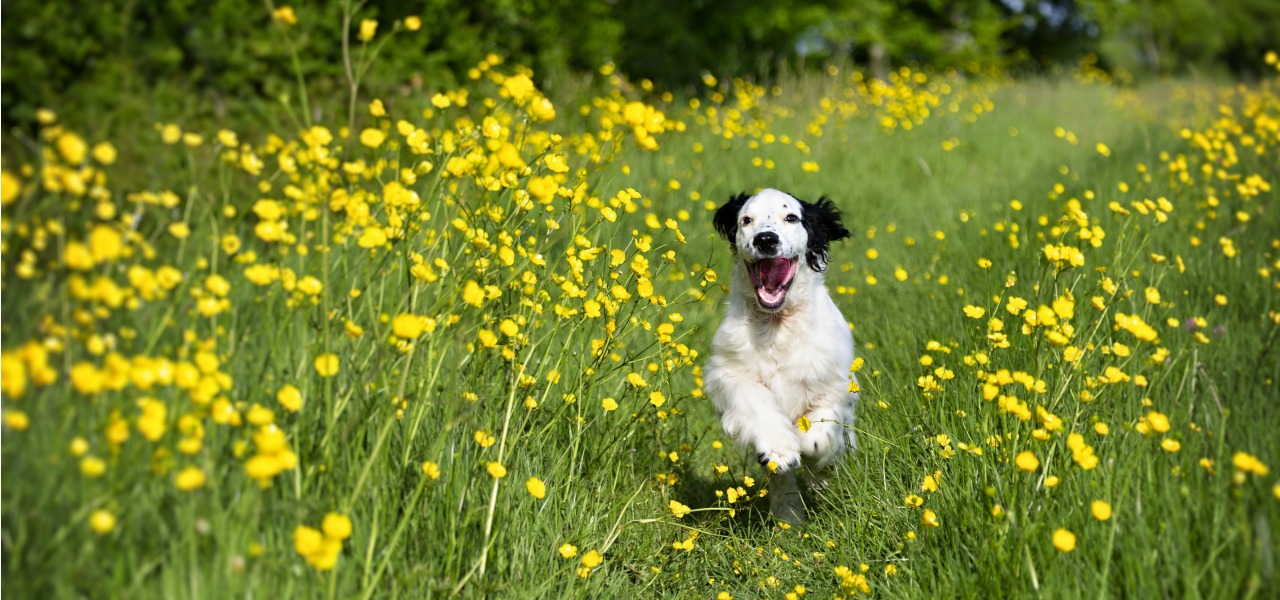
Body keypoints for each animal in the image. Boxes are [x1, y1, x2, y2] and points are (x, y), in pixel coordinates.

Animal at [701, 188, 860, 524]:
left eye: (791, 217)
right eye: (747, 220)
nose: (766, 240)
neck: (777, 325)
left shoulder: (834, 377)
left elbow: (824, 421)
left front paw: (812, 443)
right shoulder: (729, 372)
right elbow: (758, 405)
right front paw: (780, 450)